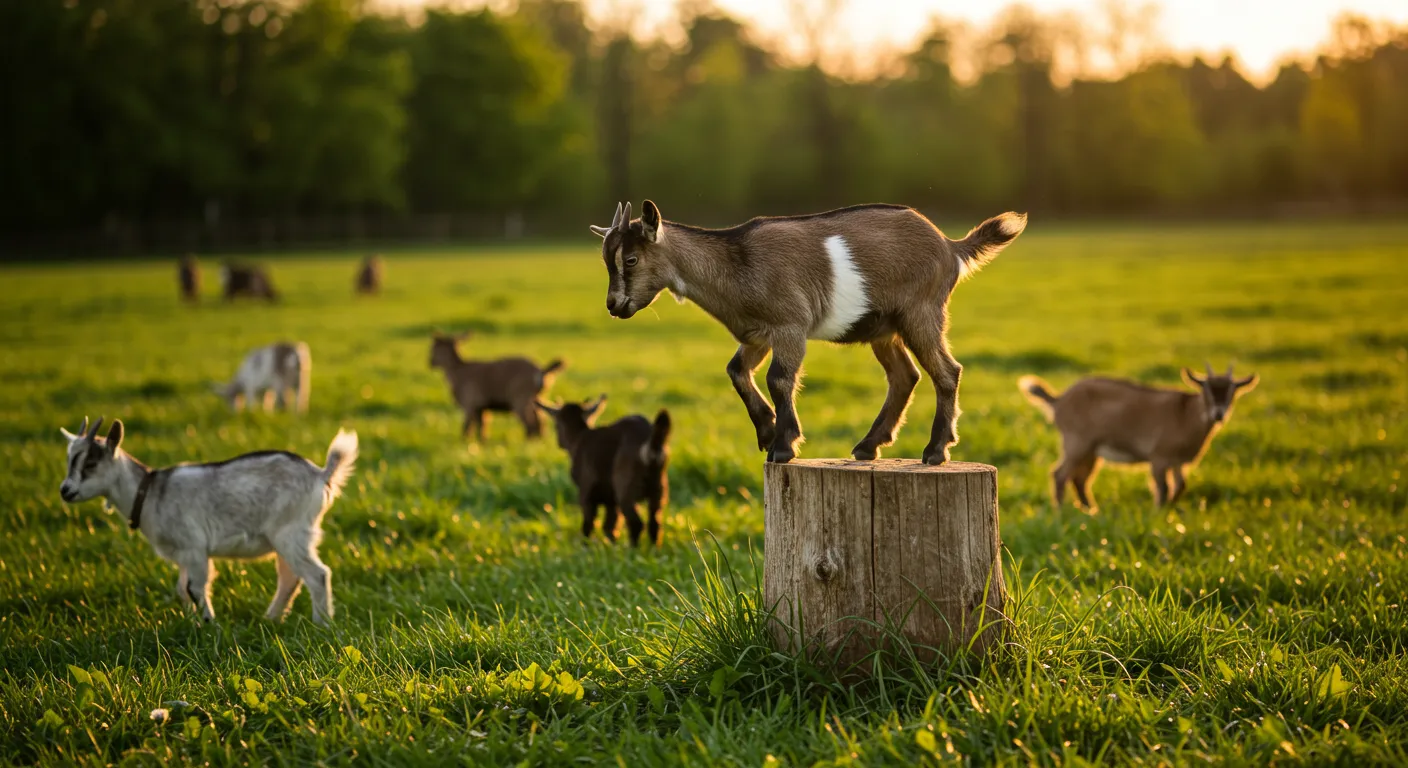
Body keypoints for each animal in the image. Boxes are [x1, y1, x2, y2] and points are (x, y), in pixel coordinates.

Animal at [58, 414, 357, 622]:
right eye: (69, 460)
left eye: (90, 464)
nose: (65, 491)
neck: (150, 493)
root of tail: (320, 474)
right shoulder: (182, 553)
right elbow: (181, 589)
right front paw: (192, 622)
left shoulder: (194, 546)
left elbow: (196, 587)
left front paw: (209, 623)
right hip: (288, 536)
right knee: (290, 577)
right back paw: (271, 619)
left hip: (290, 531)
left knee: (317, 575)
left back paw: (321, 624)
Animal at [425, 331, 563, 442]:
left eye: (434, 348)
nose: (430, 362)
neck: (459, 371)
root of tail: (541, 371)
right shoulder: (481, 407)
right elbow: (482, 426)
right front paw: (482, 442)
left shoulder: (469, 403)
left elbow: (467, 426)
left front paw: (465, 442)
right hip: (538, 396)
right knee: (541, 418)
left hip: (521, 398)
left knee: (531, 421)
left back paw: (529, 442)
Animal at [537, 394, 670, 543]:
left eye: (556, 425)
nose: (559, 443)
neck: (578, 438)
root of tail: (651, 444)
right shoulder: (610, 499)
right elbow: (610, 526)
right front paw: (611, 545)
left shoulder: (586, 491)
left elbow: (588, 524)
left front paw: (585, 545)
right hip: (659, 487)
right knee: (655, 522)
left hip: (626, 485)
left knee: (635, 523)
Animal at [588, 200, 1030, 465]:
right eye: (607, 260)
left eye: (630, 258)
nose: (614, 305)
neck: (736, 264)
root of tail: (950, 246)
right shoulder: (756, 335)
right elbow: (737, 371)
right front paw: (767, 431)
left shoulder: (790, 325)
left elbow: (780, 378)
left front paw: (783, 446)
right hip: (884, 329)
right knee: (905, 376)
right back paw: (868, 447)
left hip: (921, 312)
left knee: (947, 371)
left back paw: (935, 451)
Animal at [1019, 360, 1261, 507]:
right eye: (1206, 390)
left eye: (1232, 392)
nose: (1218, 414)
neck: (1186, 413)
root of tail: (1059, 400)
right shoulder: (1159, 456)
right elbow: (1163, 487)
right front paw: (1159, 513)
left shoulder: (1178, 461)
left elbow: (1180, 485)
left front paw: (1171, 508)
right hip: (1077, 442)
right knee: (1060, 474)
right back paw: (1063, 511)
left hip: (1091, 450)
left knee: (1079, 479)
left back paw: (1090, 511)